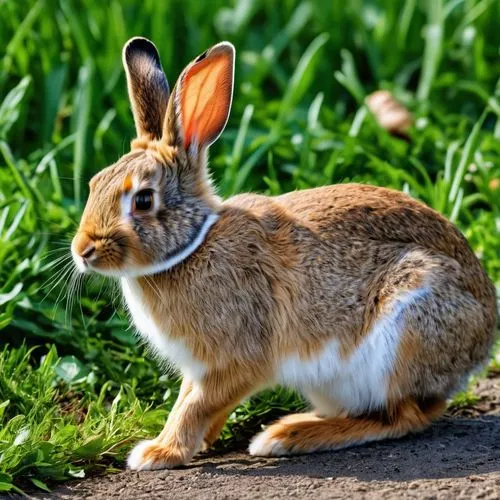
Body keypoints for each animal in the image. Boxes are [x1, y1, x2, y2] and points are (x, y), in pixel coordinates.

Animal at [70, 37, 496, 470]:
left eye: (142, 200)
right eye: (94, 183)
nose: (82, 250)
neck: (192, 246)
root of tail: (481, 344)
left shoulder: (237, 359)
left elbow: (195, 405)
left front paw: (159, 452)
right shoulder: (201, 368)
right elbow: (189, 400)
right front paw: (198, 442)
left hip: (404, 331)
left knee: (403, 417)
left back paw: (286, 435)